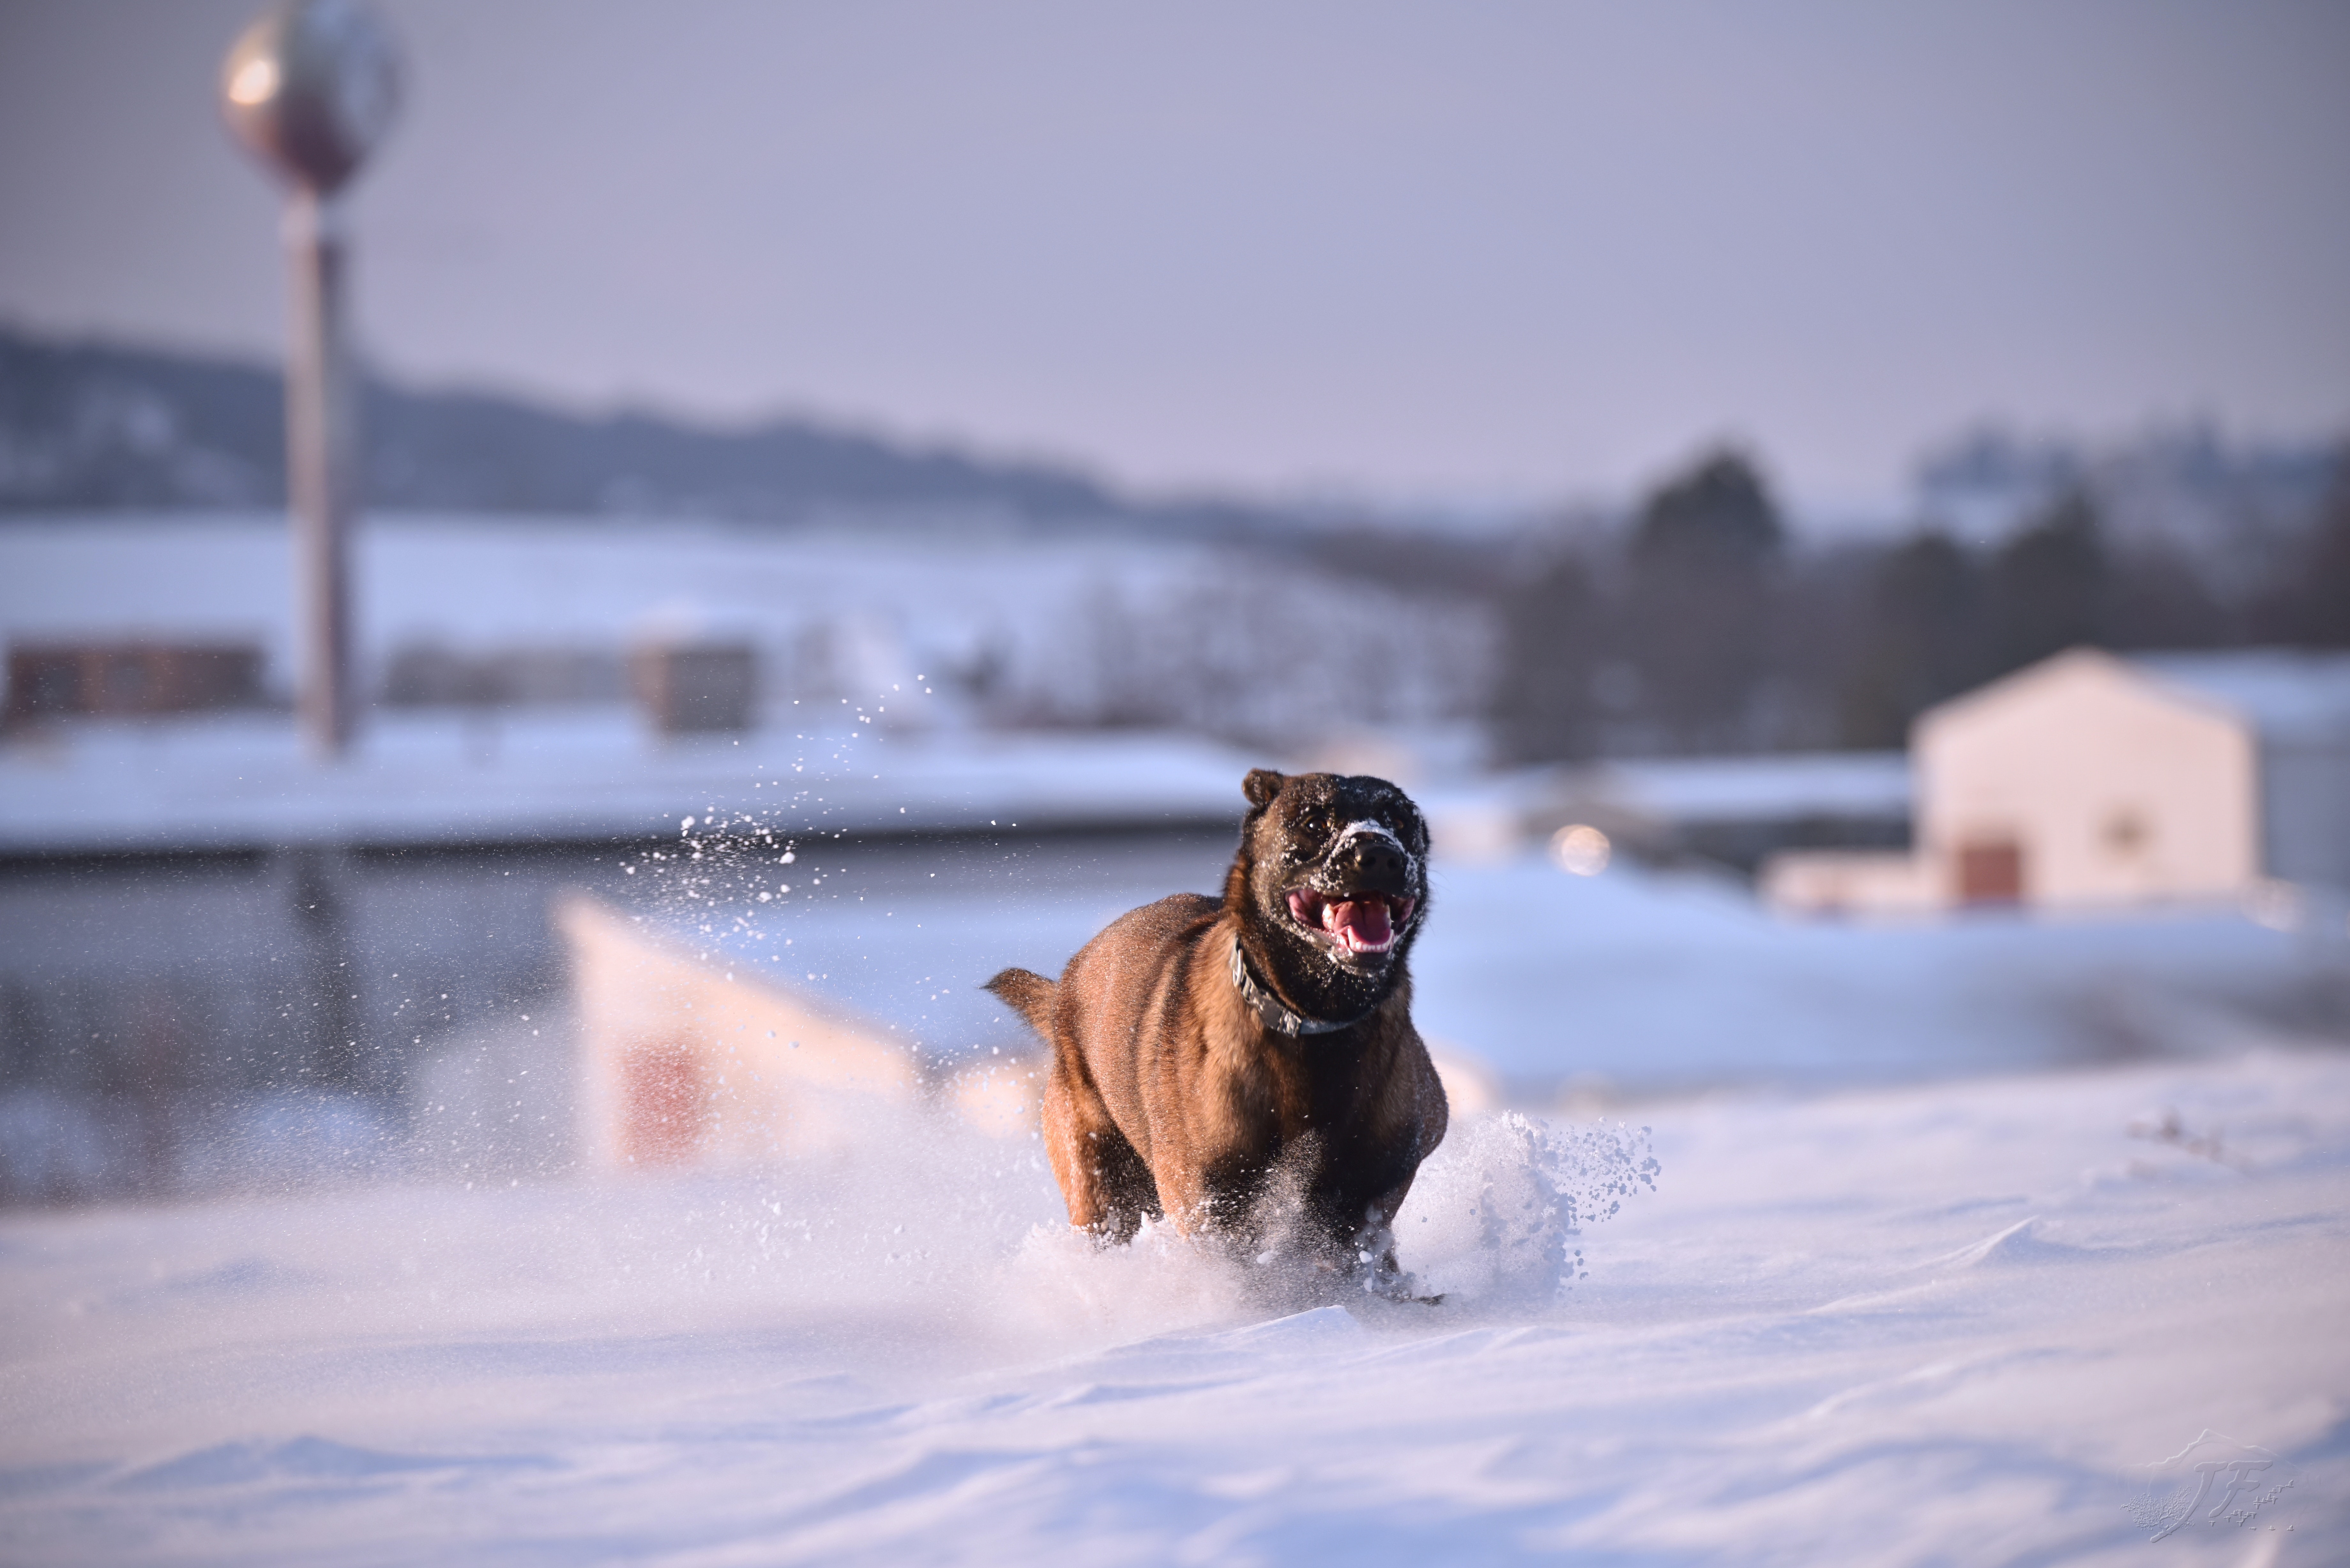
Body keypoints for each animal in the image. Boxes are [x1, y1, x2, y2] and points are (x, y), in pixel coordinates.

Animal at [982, 766, 1438, 1298]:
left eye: (1399, 821)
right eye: (1313, 822)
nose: (1382, 855)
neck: (1313, 1026)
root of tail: (1064, 993)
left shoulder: (1378, 1182)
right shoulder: (1210, 1205)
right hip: (1102, 1189)